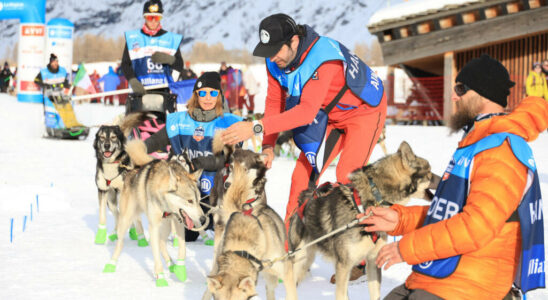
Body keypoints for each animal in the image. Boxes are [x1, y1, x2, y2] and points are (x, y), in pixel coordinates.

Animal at [103, 139, 208, 288]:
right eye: (189, 201)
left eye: (198, 200)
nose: (203, 218)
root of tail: (133, 170)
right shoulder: (153, 227)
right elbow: (156, 254)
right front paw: (160, 277)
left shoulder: (178, 224)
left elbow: (182, 248)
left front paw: (180, 269)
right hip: (126, 220)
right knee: (120, 242)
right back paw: (111, 263)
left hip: (167, 226)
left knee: (162, 243)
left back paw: (172, 265)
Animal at [286, 141, 436, 300]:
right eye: (429, 172)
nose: (441, 178)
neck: (374, 199)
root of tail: (304, 198)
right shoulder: (344, 266)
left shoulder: (373, 261)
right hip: (300, 259)